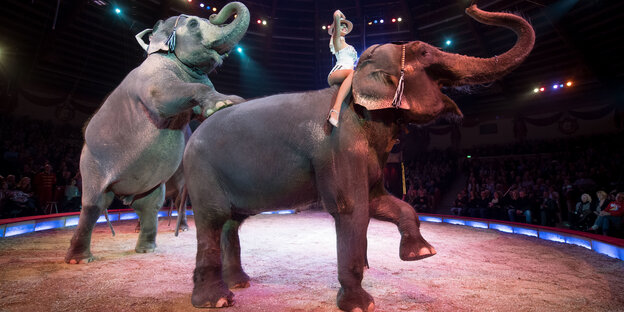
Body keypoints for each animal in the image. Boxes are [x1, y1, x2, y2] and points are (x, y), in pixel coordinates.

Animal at [63, 1, 249, 264]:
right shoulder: (151, 77)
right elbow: (162, 97)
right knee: (93, 204)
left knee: (149, 205)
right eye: (194, 24)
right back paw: (79, 260)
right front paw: (226, 104)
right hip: (91, 164)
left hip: (148, 186)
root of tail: (122, 193)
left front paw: (231, 103)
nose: (215, 13)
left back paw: (147, 249)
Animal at [183, 3, 532, 312]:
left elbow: (383, 202)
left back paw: (240, 284)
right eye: (423, 53)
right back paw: (216, 300)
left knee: (232, 222)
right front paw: (360, 304)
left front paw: (422, 253)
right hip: (202, 172)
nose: (471, 8)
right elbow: (353, 210)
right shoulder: (341, 146)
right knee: (212, 219)